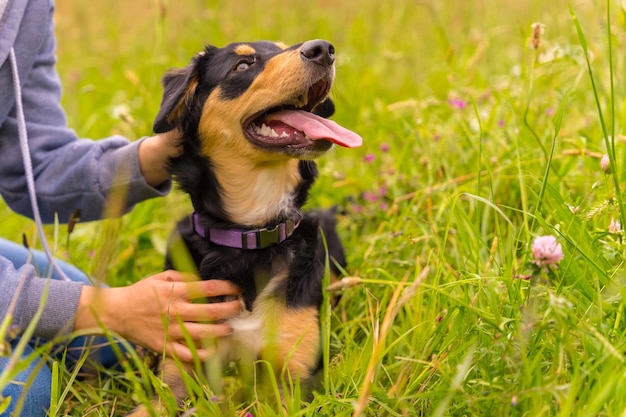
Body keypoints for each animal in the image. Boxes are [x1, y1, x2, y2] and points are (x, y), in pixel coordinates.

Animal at [127, 38, 360, 412]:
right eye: (242, 66)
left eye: (284, 46)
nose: (322, 48)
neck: (251, 236)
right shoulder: (176, 371)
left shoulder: (296, 377)